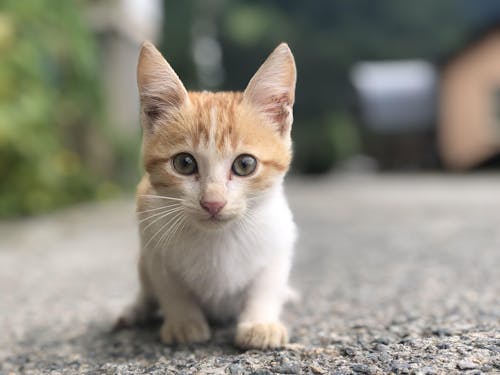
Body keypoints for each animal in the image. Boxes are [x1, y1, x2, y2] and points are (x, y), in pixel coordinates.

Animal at [117, 41, 296, 350]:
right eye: (184, 163)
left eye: (245, 164)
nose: (213, 202)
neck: (218, 238)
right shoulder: (151, 238)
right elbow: (171, 288)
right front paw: (184, 322)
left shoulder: (280, 235)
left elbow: (266, 285)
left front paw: (260, 323)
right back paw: (135, 309)